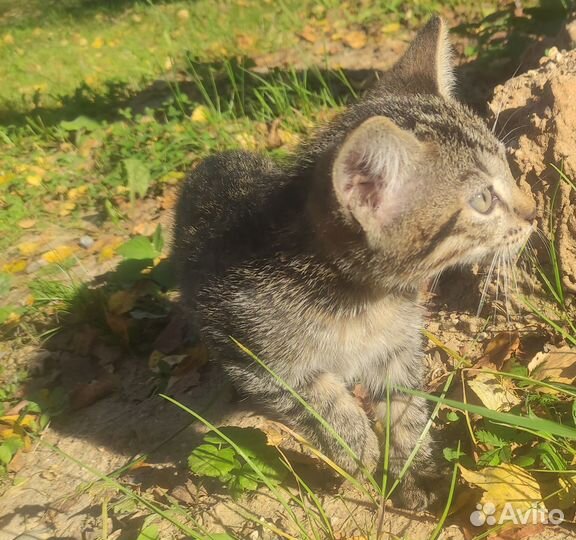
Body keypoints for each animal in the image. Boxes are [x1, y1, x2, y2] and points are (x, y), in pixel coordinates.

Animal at [172, 14, 536, 508]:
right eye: (483, 199)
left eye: (509, 170)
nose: (534, 212)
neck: (365, 301)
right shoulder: (264, 364)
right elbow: (326, 409)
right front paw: (359, 454)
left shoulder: (400, 352)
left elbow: (406, 411)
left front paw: (412, 468)